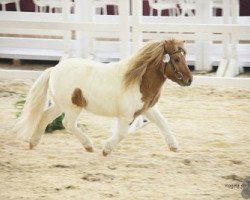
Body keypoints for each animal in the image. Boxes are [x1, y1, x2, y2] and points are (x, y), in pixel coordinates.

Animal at [13, 38, 192, 156]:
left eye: (184, 56)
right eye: (177, 59)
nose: (189, 80)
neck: (138, 81)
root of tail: (54, 69)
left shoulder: (147, 109)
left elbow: (163, 123)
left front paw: (174, 146)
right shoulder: (126, 116)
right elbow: (122, 134)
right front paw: (106, 149)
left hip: (60, 105)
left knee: (45, 116)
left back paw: (33, 142)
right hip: (73, 107)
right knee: (68, 124)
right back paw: (88, 146)